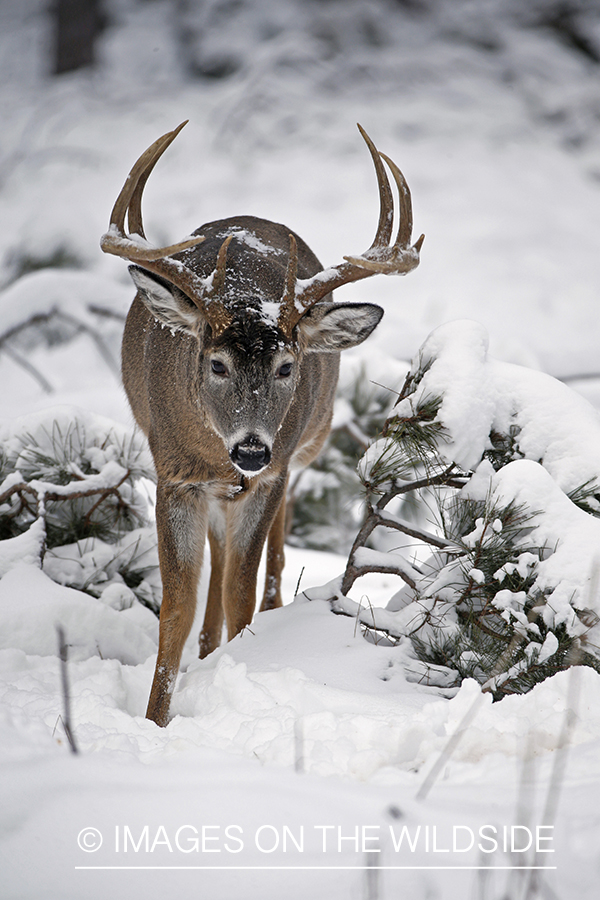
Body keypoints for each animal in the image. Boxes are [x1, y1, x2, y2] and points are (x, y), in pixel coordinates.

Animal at [101, 121, 422, 724]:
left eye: (287, 366)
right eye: (216, 363)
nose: (250, 449)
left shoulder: (269, 473)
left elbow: (241, 594)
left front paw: (234, 667)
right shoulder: (172, 474)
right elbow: (178, 605)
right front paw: (156, 717)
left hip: (304, 447)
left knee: (267, 550)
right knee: (220, 553)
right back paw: (208, 650)